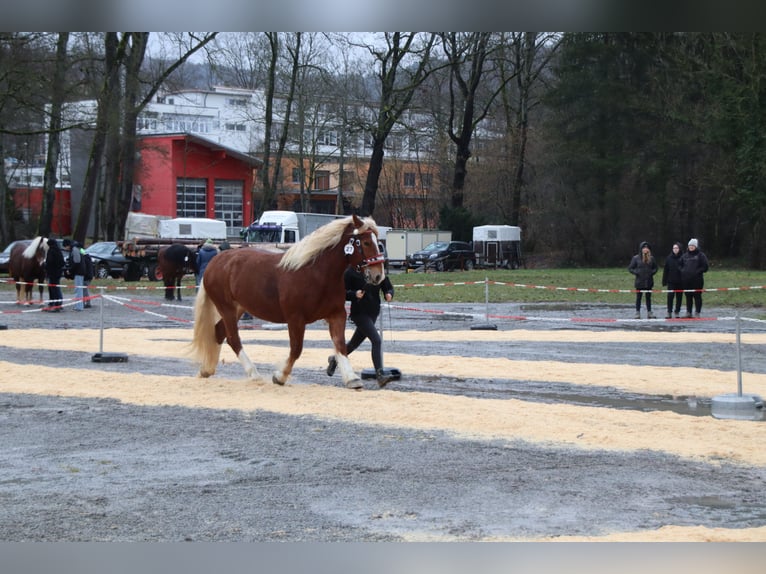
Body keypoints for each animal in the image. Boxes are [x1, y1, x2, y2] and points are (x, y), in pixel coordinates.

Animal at [190, 216, 388, 392]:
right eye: (365, 243)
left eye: (377, 242)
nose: (378, 275)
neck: (316, 273)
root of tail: (216, 261)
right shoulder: (295, 318)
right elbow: (296, 349)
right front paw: (280, 376)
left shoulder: (337, 314)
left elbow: (340, 345)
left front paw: (352, 379)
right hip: (227, 308)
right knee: (233, 339)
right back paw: (253, 374)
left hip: (238, 308)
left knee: (219, 332)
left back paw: (207, 369)